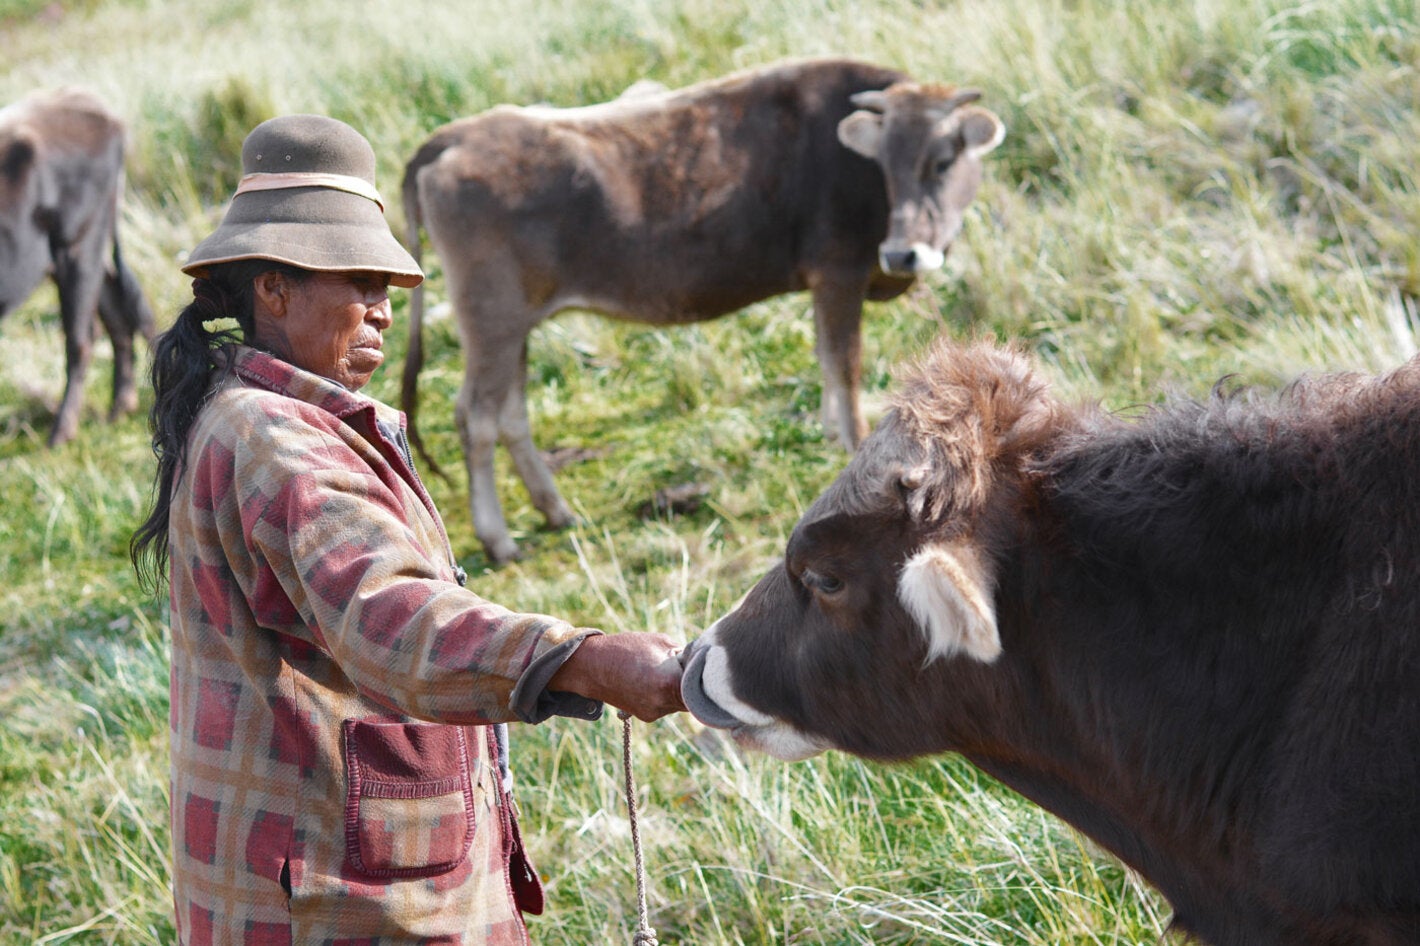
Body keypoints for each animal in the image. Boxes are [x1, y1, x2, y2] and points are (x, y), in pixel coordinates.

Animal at [0, 88, 154, 447]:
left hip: (78, 246)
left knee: (80, 339)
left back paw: (62, 431)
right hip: (81, 253)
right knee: (116, 318)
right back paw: (120, 405)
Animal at [400, 57, 1006, 563]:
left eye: (942, 162)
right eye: (884, 164)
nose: (902, 252)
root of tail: (455, 134)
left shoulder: (824, 283)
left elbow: (825, 360)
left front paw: (834, 435)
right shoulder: (839, 273)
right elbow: (845, 363)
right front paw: (857, 446)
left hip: (516, 324)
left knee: (512, 415)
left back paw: (555, 510)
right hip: (491, 318)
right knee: (477, 417)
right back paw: (499, 539)